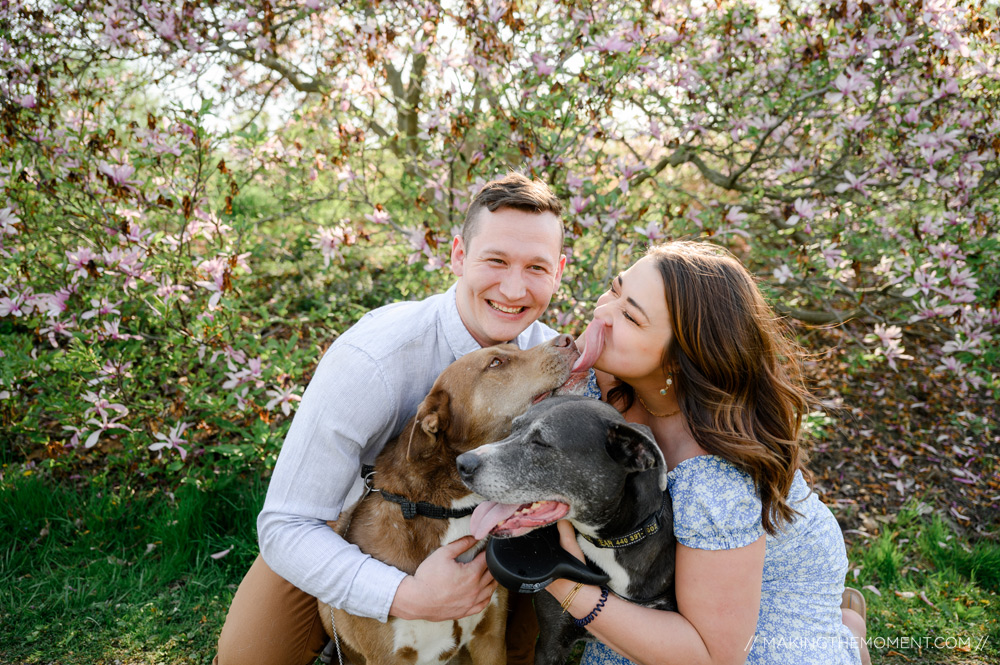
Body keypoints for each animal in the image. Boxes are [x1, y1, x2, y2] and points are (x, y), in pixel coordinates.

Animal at [320, 334, 584, 664]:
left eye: (514, 345)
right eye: (495, 362)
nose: (568, 339)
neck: (443, 508)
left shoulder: (490, 637)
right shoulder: (387, 657)